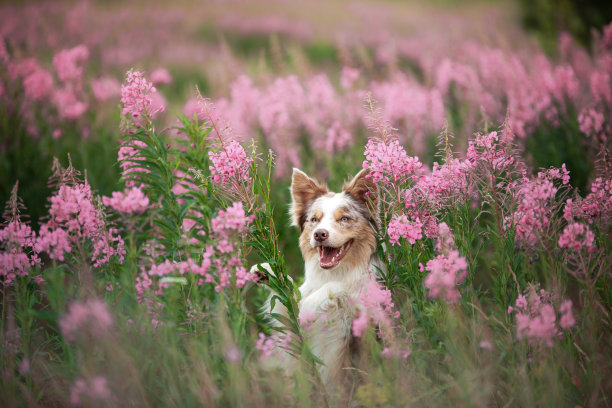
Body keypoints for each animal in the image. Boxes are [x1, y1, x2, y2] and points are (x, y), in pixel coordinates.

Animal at [256, 168, 384, 388]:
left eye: (344, 219)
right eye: (314, 220)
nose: (319, 234)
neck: (335, 271)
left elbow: (339, 287)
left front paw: (308, 308)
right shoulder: (297, 343)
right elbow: (289, 302)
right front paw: (270, 273)